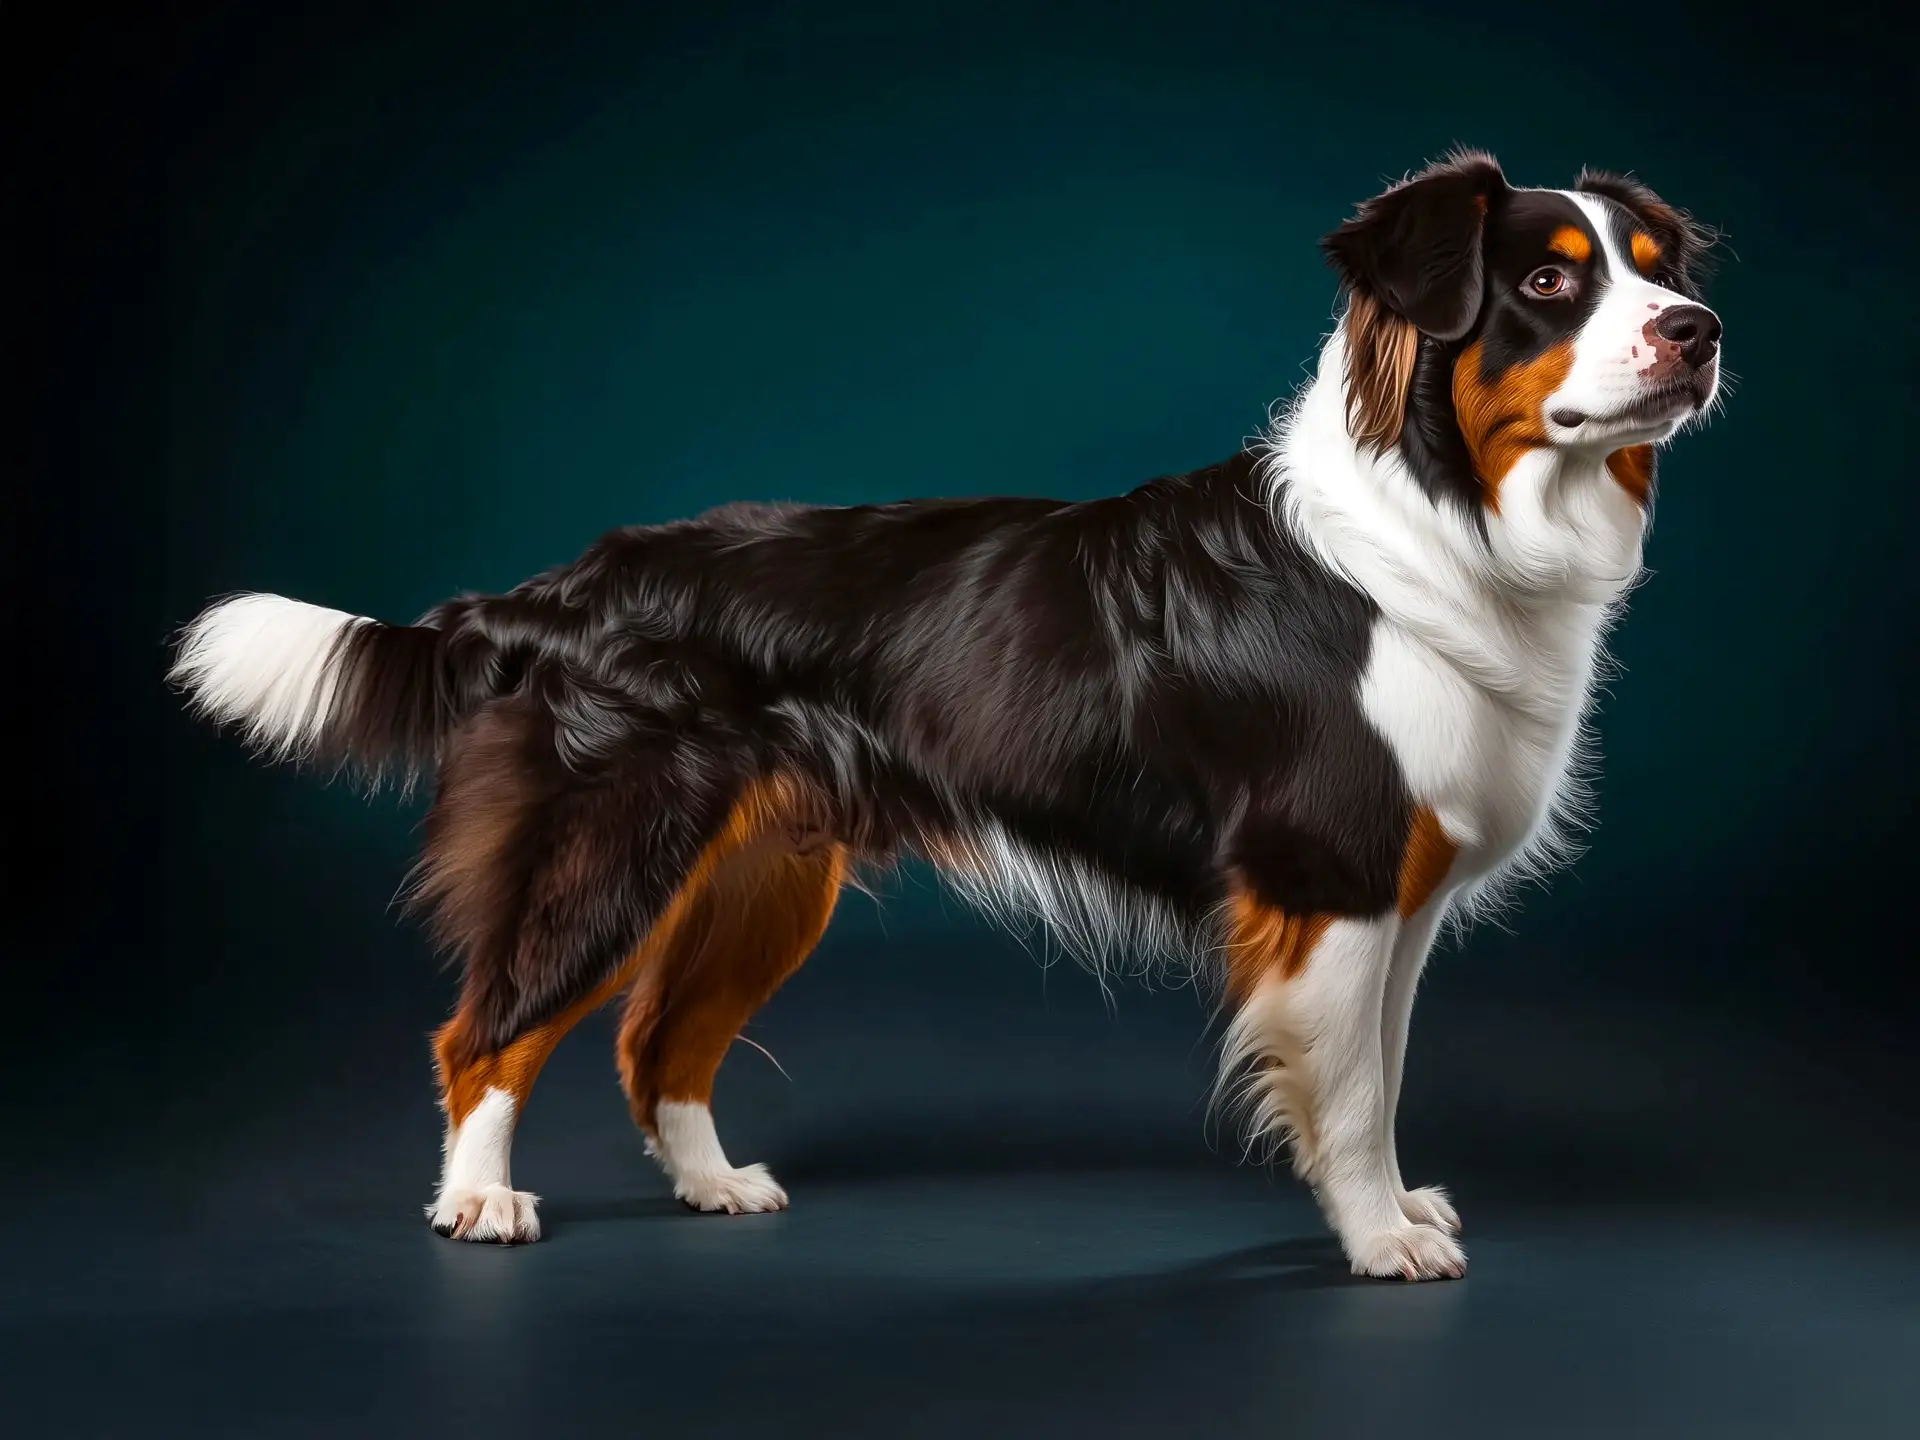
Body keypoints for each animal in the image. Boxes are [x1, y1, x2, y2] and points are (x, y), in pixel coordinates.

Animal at [168, 155, 1728, 1282]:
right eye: (1548, 280)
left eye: (1657, 274)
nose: (1701, 332)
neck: (1448, 512)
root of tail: (562, 584)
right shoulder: (1326, 877)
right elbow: (1345, 1092)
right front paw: (1379, 1239)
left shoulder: (1396, 896)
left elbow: (1386, 1075)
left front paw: (1400, 1206)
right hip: (615, 837)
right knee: (487, 1029)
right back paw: (480, 1206)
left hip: (769, 871)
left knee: (655, 1041)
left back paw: (715, 1186)